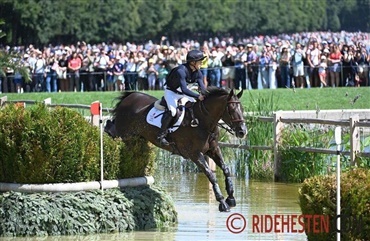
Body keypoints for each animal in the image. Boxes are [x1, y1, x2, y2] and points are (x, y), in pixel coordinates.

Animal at [105, 86, 247, 211]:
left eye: (242, 108)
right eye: (231, 109)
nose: (242, 132)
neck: (202, 121)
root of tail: (130, 96)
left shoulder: (213, 149)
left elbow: (226, 169)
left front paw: (231, 197)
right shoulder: (194, 154)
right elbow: (210, 175)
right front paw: (222, 202)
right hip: (124, 134)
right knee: (114, 132)